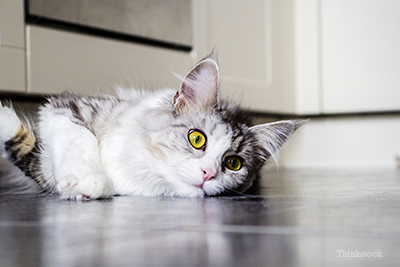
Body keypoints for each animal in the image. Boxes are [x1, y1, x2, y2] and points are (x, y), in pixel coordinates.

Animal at [0, 53, 304, 200]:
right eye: (197, 139)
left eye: (233, 164)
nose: (208, 174)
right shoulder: (66, 107)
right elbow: (79, 139)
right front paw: (88, 177)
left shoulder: (41, 169)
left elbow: (22, 145)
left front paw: (86, 186)